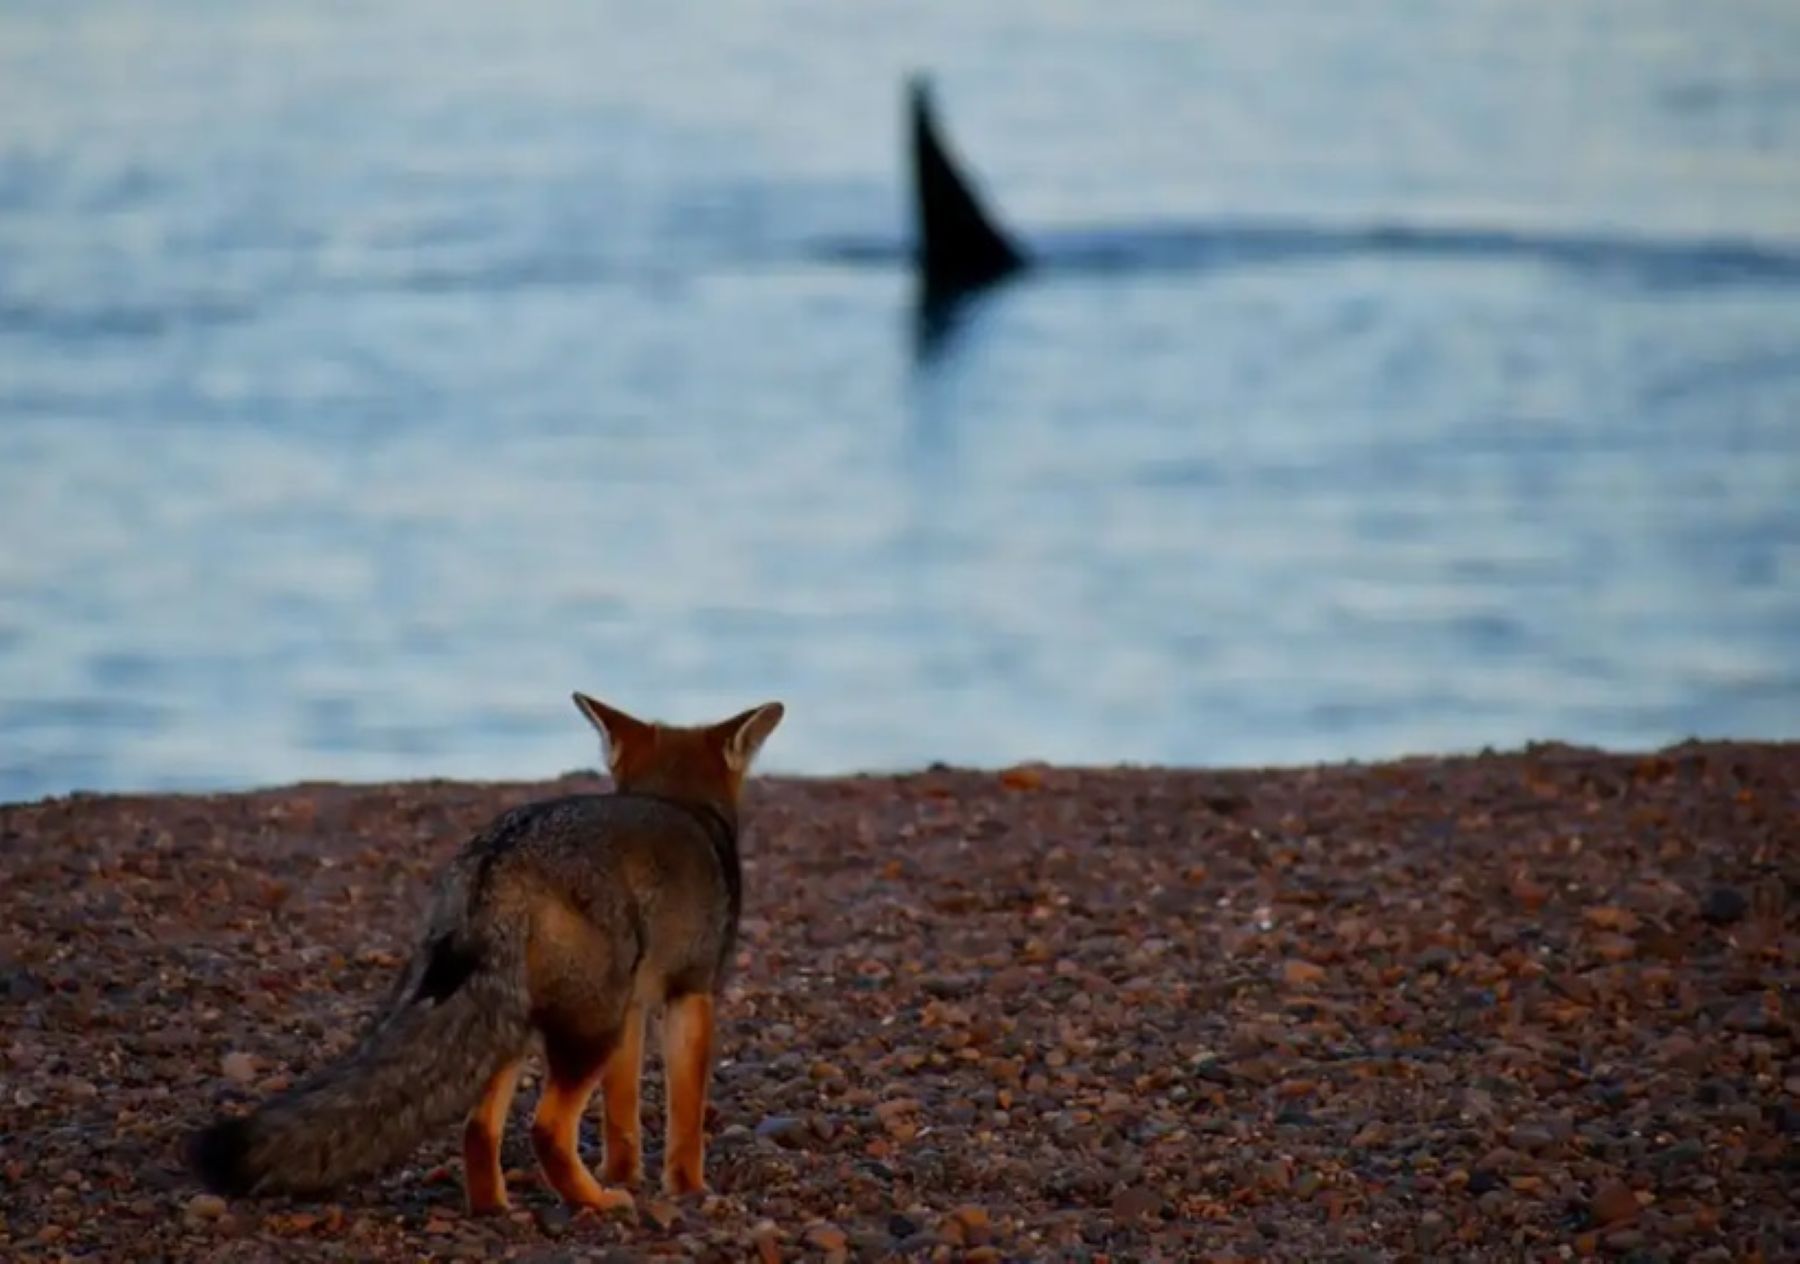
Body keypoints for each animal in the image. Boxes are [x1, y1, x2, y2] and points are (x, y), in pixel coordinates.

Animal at [186, 692, 784, 1214]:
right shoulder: (690, 994)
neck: (679, 802)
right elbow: (686, 1115)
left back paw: (496, 1207)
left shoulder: (634, 1010)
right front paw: (687, 1188)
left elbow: (622, 1116)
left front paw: (623, 1172)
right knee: (546, 1129)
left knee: (477, 1128)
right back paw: (595, 1202)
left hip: (522, 1022)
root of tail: (497, 857)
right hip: (586, 1028)